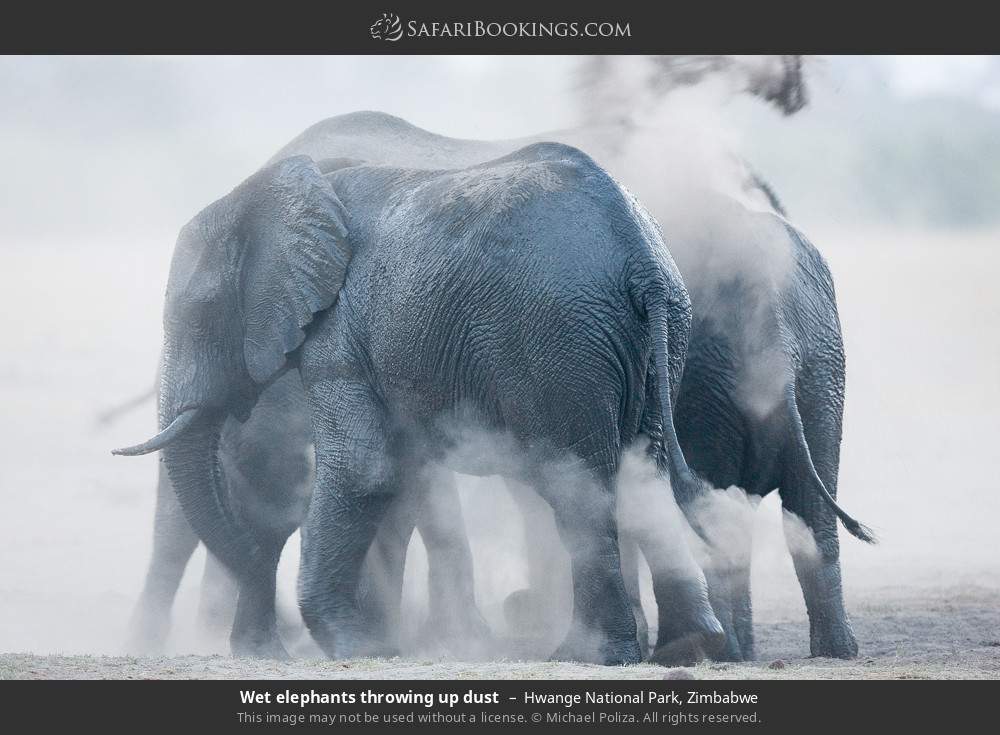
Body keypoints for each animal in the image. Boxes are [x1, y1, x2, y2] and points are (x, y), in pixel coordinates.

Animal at [114, 144, 723, 665]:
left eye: (201, 311)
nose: (274, 646)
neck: (290, 189)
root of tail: (643, 264)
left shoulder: (339, 330)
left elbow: (364, 470)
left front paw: (356, 648)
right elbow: (398, 477)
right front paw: (376, 645)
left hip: (558, 342)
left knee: (576, 486)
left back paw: (584, 656)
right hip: (655, 341)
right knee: (644, 475)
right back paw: (687, 648)